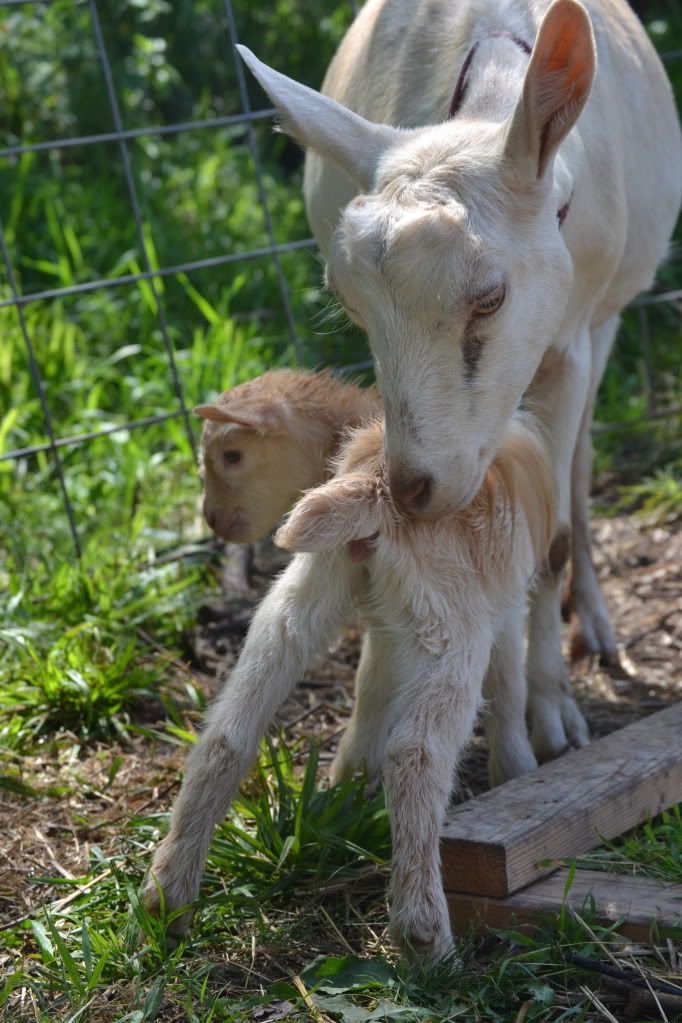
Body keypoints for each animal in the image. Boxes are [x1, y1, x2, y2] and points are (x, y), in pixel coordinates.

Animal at [142, 413, 554, 961]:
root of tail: (373, 485)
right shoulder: (497, 607)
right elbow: (508, 683)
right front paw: (518, 769)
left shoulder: (388, 623)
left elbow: (371, 685)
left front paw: (350, 781)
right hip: (451, 629)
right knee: (415, 754)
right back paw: (425, 937)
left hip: (297, 602)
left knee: (227, 735)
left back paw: (166, 900)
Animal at [236, 0, 682, 763]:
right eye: (351, 305)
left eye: (491, 297)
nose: (415, 488)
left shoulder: (569, 336)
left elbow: (553, 532)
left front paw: (553, 714)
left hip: (609, 317)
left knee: (582, 459)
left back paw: (593, 626)